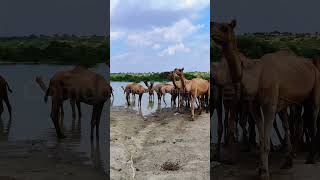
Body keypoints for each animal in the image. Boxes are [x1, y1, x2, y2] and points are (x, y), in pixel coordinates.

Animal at [212, 19, 320, 179]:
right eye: (212, 24)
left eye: (225, 28)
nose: (212, 34)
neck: (255, 75)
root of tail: (312, 64)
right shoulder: (254, 105)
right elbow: (262, 137)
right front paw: (260, 169)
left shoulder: (270, 104)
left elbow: (266, 138)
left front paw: (265, 173)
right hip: (299, 99)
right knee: (300, 120)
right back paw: (289, 160)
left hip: (316, 86)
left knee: (312, 118)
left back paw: (310, 157)